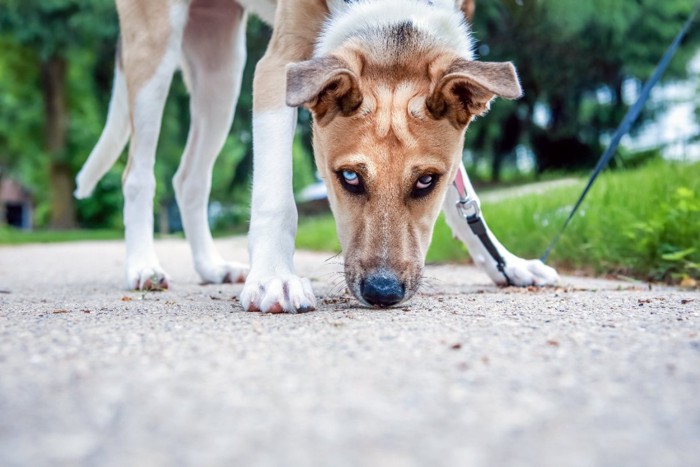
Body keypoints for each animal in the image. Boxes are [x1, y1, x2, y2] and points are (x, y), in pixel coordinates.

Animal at [75, 0, 556, 314]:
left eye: (426, 181)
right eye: (349, 177)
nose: (383, 291)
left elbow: (464, 202)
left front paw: (507, 264)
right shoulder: (277, 68)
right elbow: (275, 199)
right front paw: (273, 277)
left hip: (220, 68)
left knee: (190, 178)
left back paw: (211, 266)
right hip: (156, 49)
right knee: (138, 174)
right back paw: (143, 266)